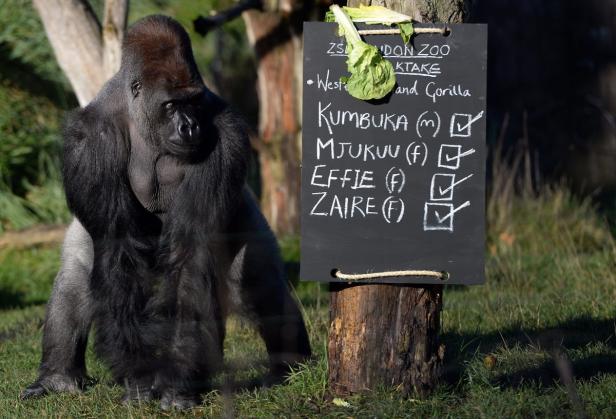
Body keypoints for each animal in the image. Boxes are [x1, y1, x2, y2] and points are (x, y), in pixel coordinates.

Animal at [21, 15, 310, 410]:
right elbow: (117, 251)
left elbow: (191, 256)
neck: (142, 120)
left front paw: (175, 382)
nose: (190, 127)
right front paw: (140, 377)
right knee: (77, 276)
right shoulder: (89, 140)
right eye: (171, 106)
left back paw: (290, 366)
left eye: (192, 101)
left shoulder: (227, 132)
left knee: (257, 282)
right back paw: (57, 377)